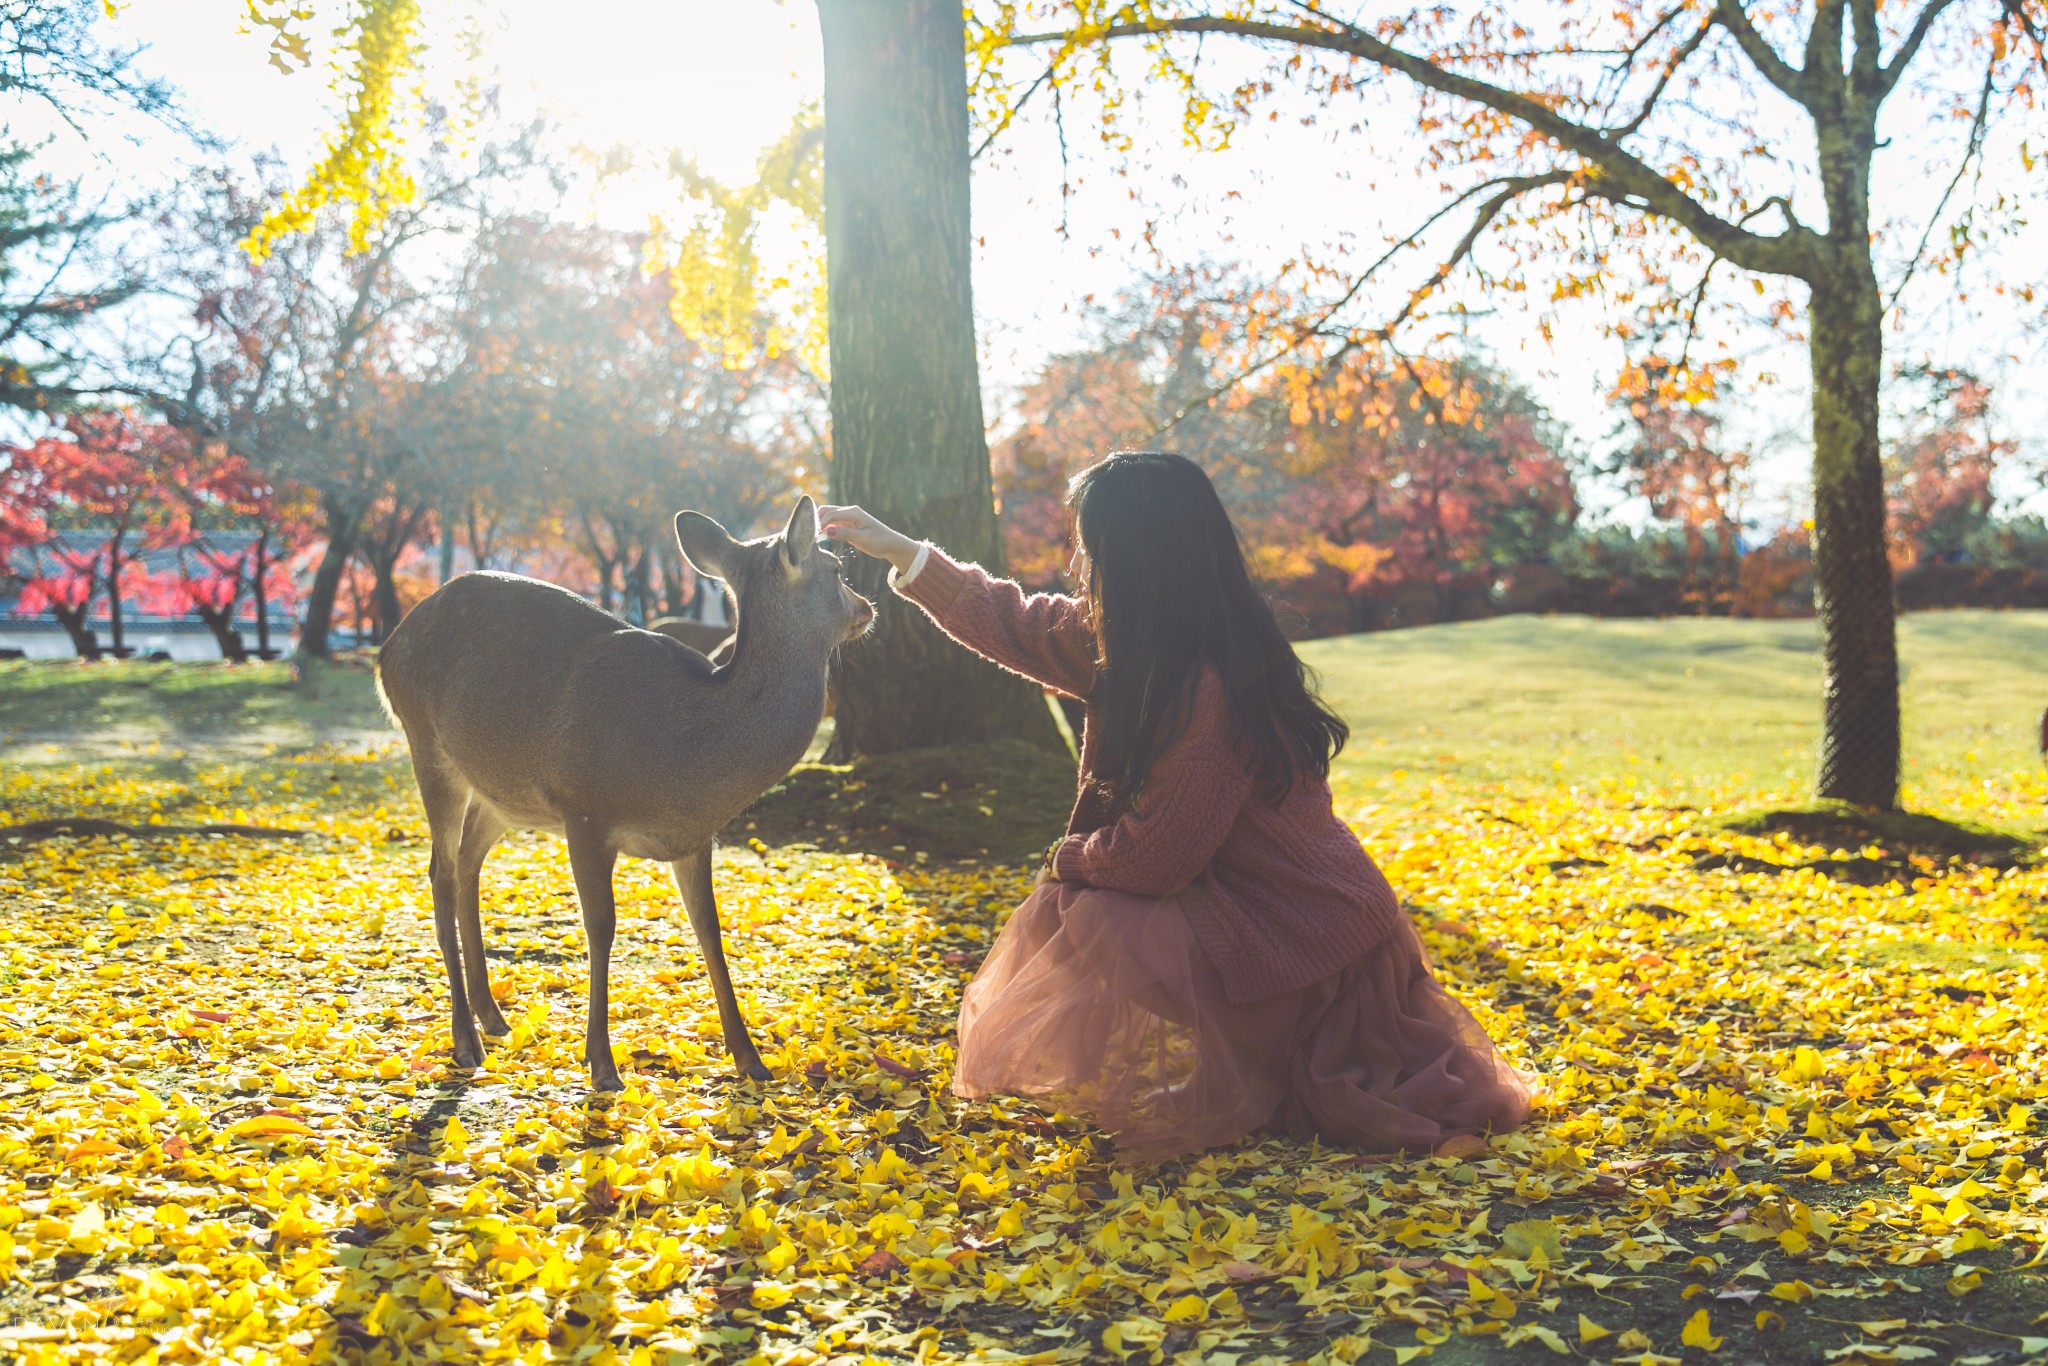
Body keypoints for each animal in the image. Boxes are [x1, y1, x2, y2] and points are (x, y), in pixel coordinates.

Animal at [376, 499, 872, 1089]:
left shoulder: (693, 837)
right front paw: (602, 1063)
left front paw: (750, 1057)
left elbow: (709, 928)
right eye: (838, 570)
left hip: (501, 792)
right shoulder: (584, 808)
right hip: (426, 744)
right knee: (441, 873)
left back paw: (492, 1016)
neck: (688, 760)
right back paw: (465, 1041)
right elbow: (602, 927)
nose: (868, 607)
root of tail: (386, 649)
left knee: (468, 861)